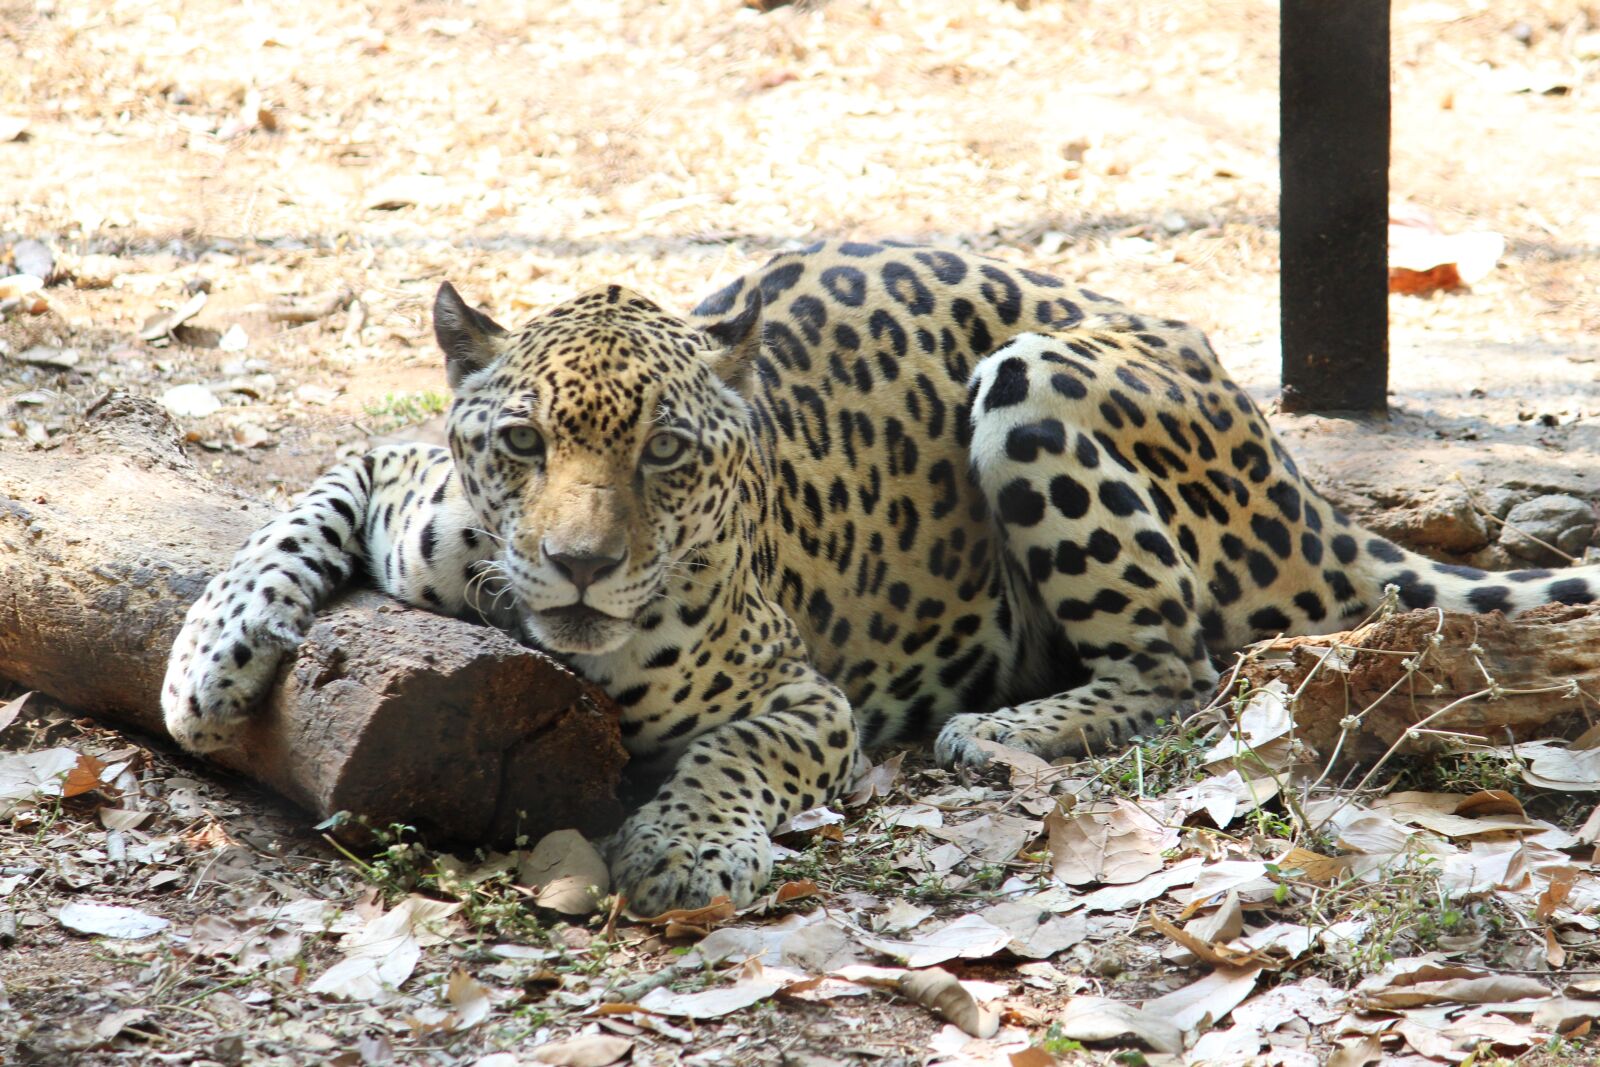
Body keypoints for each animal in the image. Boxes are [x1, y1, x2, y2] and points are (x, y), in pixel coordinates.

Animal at [163, 240, 1600, 914]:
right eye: (522, 444)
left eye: (665, 453)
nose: (578, 566)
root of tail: (1268, 434)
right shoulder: (403, 473)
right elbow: (302, 500)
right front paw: (206, 660)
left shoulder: (806, 698)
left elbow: (733, 751)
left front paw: (682, 846)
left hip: (1034, 377)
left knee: (1183, 662)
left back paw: (1000, 726)